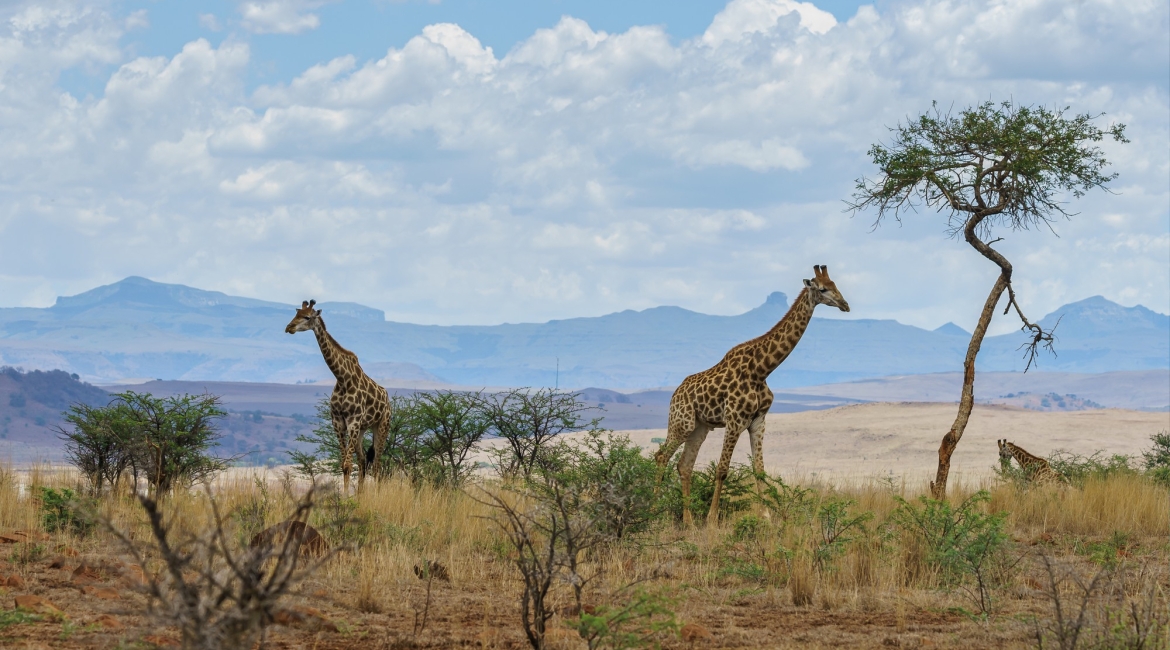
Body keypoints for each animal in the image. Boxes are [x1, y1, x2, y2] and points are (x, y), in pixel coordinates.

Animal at [285, 299, 390, 493]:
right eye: (296, 313)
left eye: (307, 317)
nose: (289, 327)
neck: (342, 378)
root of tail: (387, 399)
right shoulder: (338, 422)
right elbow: (344, 465)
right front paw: (347, 495)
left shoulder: (353, 421)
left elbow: (347, 464)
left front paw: (346, 497)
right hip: (362, 429)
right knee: (363, 461)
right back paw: (361, 495)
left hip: (382, 425)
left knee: (377, 464)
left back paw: (376, 495)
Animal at [650, 266, 851, 526]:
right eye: (823, 288)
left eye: (836, 285)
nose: (845, 304)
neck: (761, 369)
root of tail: (675, 393)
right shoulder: (735, 420)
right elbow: (722, 470)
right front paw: (712, 520)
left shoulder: (758, 421)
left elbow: (759, 469)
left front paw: (766, 516)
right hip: (681, 422)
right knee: (661, 456)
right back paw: (653, 512)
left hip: (700, 427)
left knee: (684, 465)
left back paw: (689, 521)